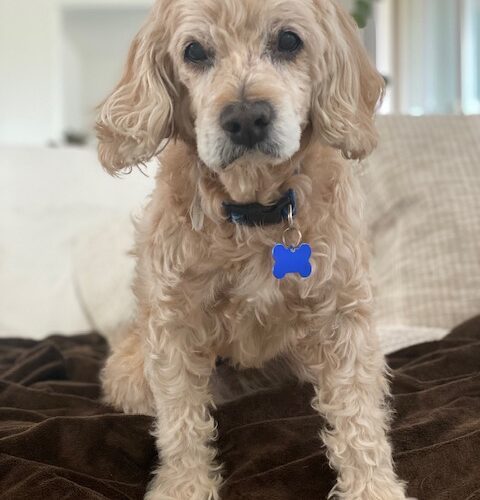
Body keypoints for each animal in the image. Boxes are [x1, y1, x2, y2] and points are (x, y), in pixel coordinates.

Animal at [98, 0, 412, 500]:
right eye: (193, 51)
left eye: (288, 41)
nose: (245, 117)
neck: (254, 210)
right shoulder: (173, 321)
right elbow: (181, 420)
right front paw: (183, 485)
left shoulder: (343, 314)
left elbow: (359, 414)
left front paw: (374, 487)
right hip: (130, 375)